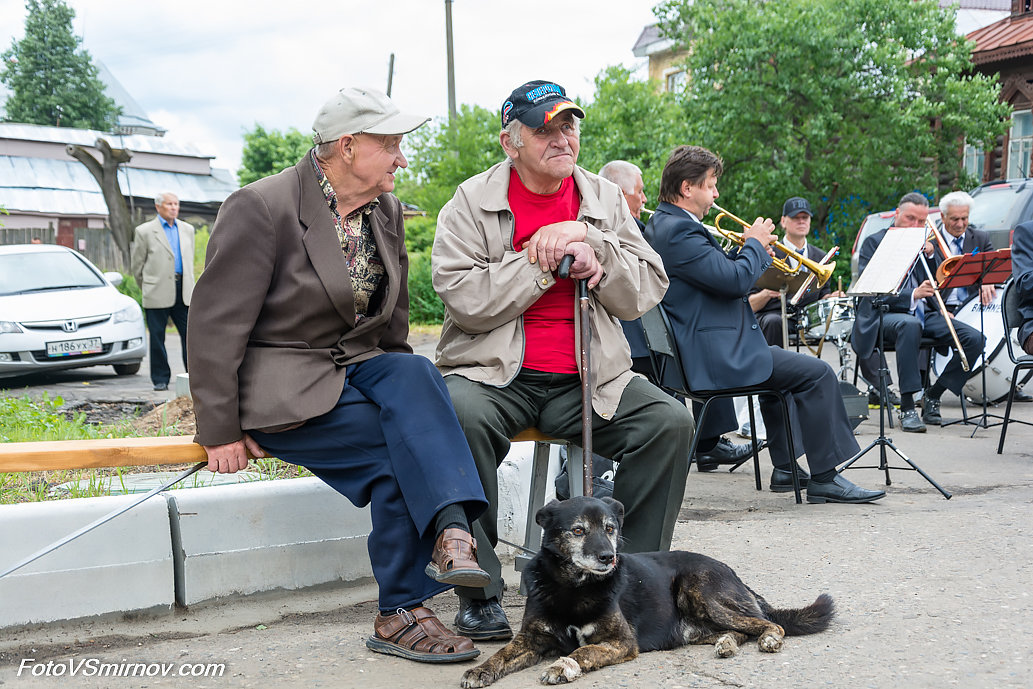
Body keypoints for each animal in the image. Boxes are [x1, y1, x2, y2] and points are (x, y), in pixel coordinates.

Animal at [464, 497, 834, 685]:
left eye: (610, 528)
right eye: (578, 530)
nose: (608, 557)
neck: (573, 587)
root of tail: (735, 574)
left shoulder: (622, 641)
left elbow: (584, 651)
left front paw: (562, 666)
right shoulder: (532, 639)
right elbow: (501, 654)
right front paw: (480, 670)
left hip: (698, 588)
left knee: (767, 623)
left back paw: (767, 638)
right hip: (696, 623)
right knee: (739, 629)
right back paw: (727, 643)